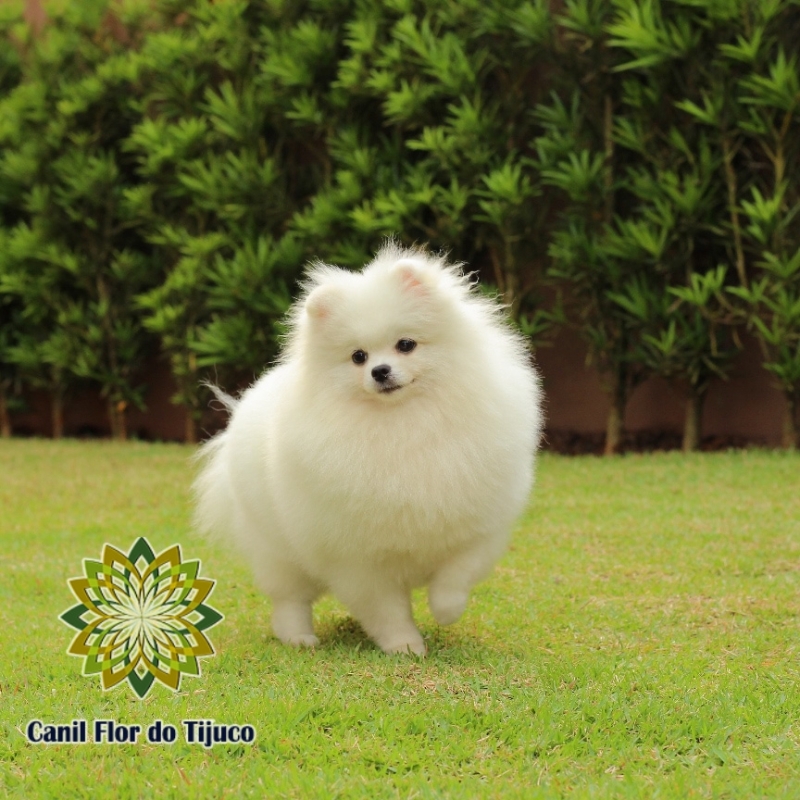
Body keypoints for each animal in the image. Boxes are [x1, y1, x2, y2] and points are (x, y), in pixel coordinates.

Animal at [195, 244, 544, 656]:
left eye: (406, 344)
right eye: (358, 356)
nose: (380, 371)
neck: (404, 423)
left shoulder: (475, 530)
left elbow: (456, 576)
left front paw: (445, 612)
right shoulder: (360, 559)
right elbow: (387, 609)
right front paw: (405, 646)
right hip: (280, 551)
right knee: (289, 600)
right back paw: (299, 637)